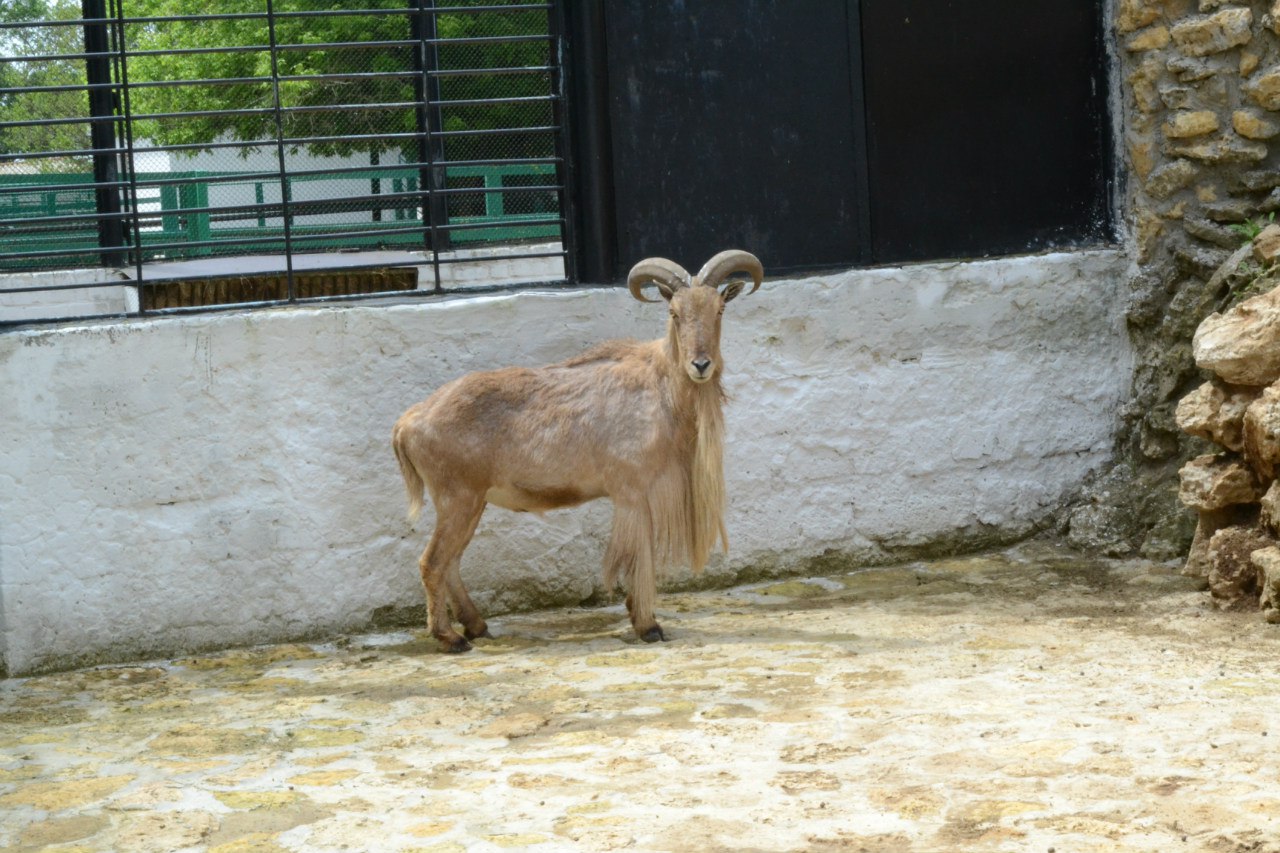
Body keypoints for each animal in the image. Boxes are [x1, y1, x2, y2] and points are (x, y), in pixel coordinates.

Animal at [392, 249, 763, 652]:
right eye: (674, 312)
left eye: (719, 310)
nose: (700, 364)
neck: (661, 387)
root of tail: (409, 421)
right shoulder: (633, 493)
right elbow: (638, 556)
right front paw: (647, 624)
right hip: (456, 497)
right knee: (433, 562)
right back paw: (450, 637)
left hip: (471, 502)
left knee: (452, 562)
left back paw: (476, 626)